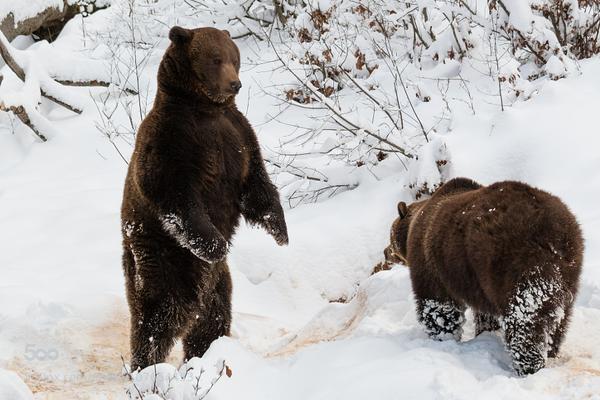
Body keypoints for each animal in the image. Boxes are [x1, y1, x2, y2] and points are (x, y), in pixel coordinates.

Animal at [120, 26, 288, 370]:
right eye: (215, 58)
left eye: (235, 57)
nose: (234, 83)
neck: (206, 108)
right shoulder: (172, 141)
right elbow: (175, 194)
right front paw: (215, 244)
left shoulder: (238, 134)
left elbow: (256, 183)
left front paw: (280, 230)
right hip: (164, 255)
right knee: (160, 312)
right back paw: (146, 364)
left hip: (215, 281)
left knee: (212, 315)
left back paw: (206, 353)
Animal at [390, 178, 580, 376]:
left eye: (389, 234)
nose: (387, 251)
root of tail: (554, 233)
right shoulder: (479, 284)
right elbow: (485, 315)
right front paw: (485, 332)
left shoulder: (430, 263)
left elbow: (438, 306)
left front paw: (442, 336)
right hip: (569, 272)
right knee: (560, 319)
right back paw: (551, 351)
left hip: (516, 263)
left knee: (525, 319)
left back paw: (528, 365)